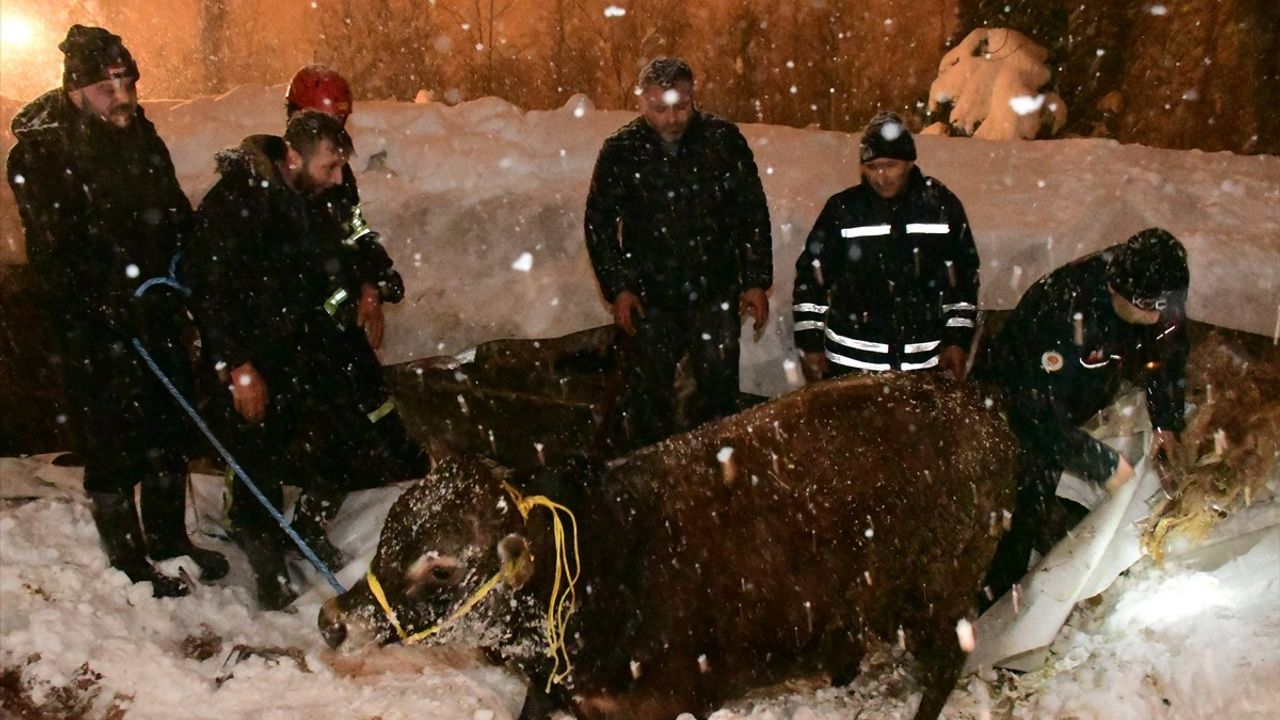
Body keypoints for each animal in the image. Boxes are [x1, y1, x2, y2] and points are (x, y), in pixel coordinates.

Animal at [320, 371, 1018, 712]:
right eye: (388, 531)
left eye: (441, 568)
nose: (331, 622)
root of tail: (981, 405)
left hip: (939, 601)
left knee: (946, 667)